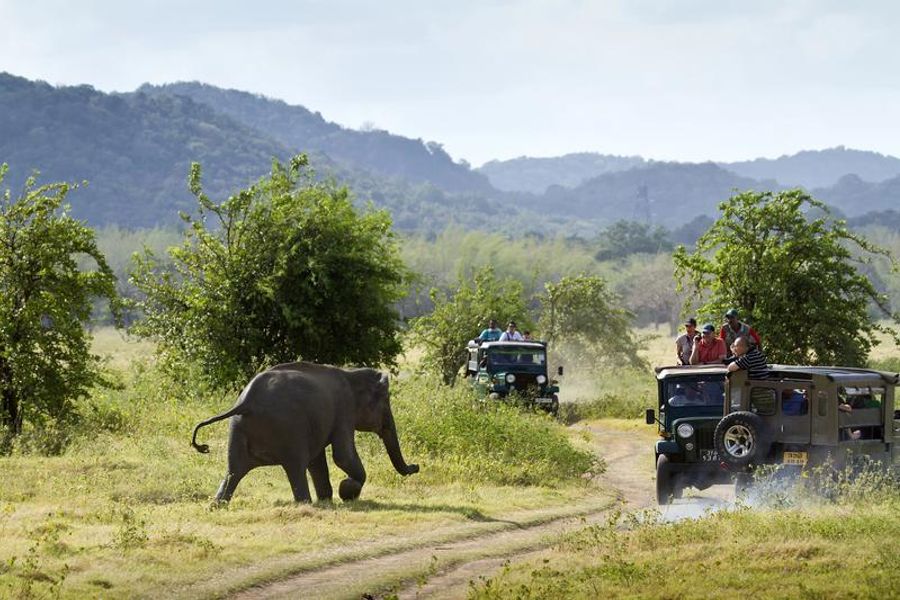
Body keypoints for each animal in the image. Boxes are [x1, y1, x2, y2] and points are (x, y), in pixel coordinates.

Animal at [191, 361, 419, 502]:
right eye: (386, 403)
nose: (416, 466)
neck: (351, 373)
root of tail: (245, 403)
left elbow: (318, 460)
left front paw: (329, 498)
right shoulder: (344, 410)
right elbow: (342, 456)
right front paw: (346, 491)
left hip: (237, 430)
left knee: (234, 470)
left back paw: (217, 506)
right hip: (288, 430)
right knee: (296, 466)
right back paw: (306, 503)